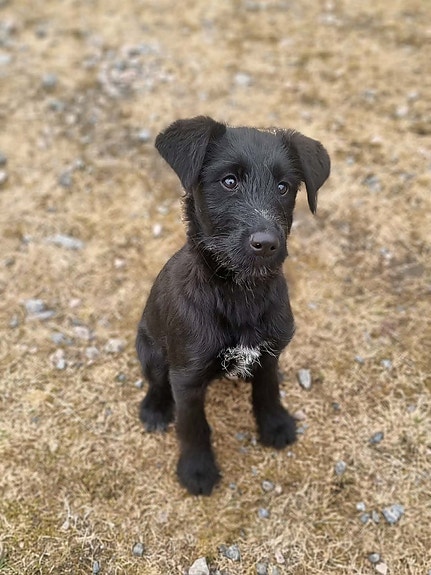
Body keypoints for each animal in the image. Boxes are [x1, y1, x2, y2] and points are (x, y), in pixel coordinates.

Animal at [135, 116, 330, 495]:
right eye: (229, 181)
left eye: (284, 187)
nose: (266, 244)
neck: (240, 294)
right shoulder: (187, 377)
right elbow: (193, 427)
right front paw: (197, 470)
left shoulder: (270, 353)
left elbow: (268, 392)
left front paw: (275, 425)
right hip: (149, 348)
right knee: (156, 381)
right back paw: (154, 408)